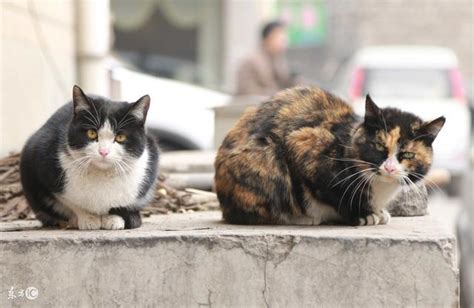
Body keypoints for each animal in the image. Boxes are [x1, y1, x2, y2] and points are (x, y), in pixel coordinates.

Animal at [19, 85, 159, 230]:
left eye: (120, 137)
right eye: (91, 133)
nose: (103, 151)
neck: (102, 176)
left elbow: (121, 205)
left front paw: (114, 219)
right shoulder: (43, 162)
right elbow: (71, 202)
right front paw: (87, 218)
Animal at [215, 86, 444, 226]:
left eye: (407, 154)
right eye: (379, 145)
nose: (389, 168)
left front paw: (378, 212)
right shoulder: (302, 144)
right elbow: (332, 192)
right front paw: (362, 215)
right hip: (267, 157)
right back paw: (299, 218)